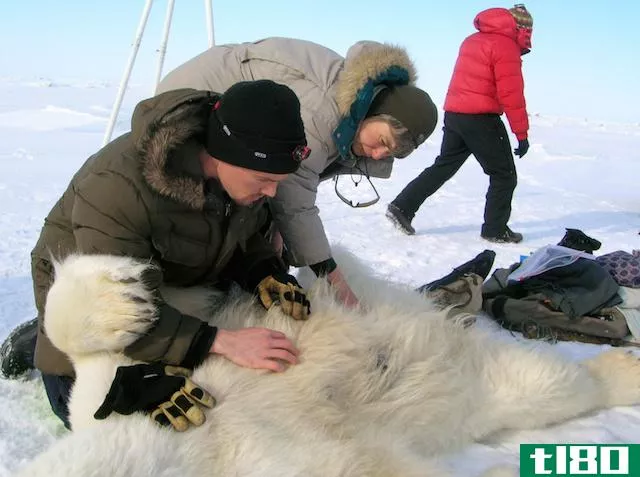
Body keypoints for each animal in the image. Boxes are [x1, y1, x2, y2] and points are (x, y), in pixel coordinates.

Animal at [15, 249, 640, 476]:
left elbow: (91, 351)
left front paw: (123, 294)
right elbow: (362, 462)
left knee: (550, 383)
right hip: (471, 386)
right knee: (531, 383)